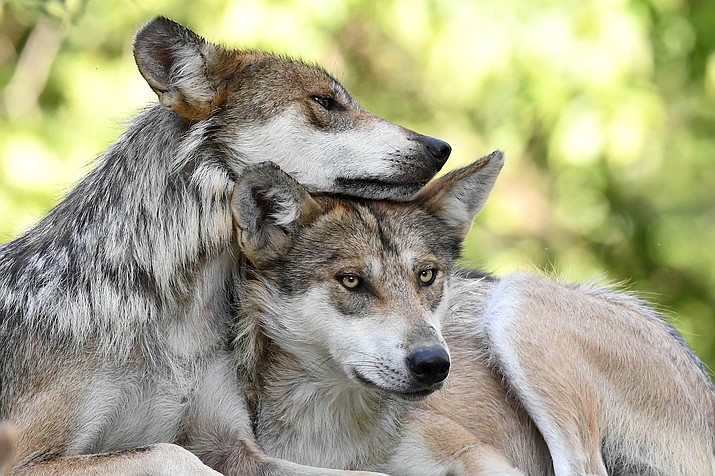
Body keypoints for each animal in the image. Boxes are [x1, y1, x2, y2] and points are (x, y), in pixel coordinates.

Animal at [0, 15, 448, 476]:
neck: (179, 318)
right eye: (324, 101)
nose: (441, 147)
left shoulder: (238, 446)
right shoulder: (24, 458)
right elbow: (173, 453)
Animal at [232, 154, 712, 474]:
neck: (332, 434)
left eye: (426, 275)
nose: (434, 364)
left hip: (517, 302)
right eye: (351, 281)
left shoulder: (478, 458)